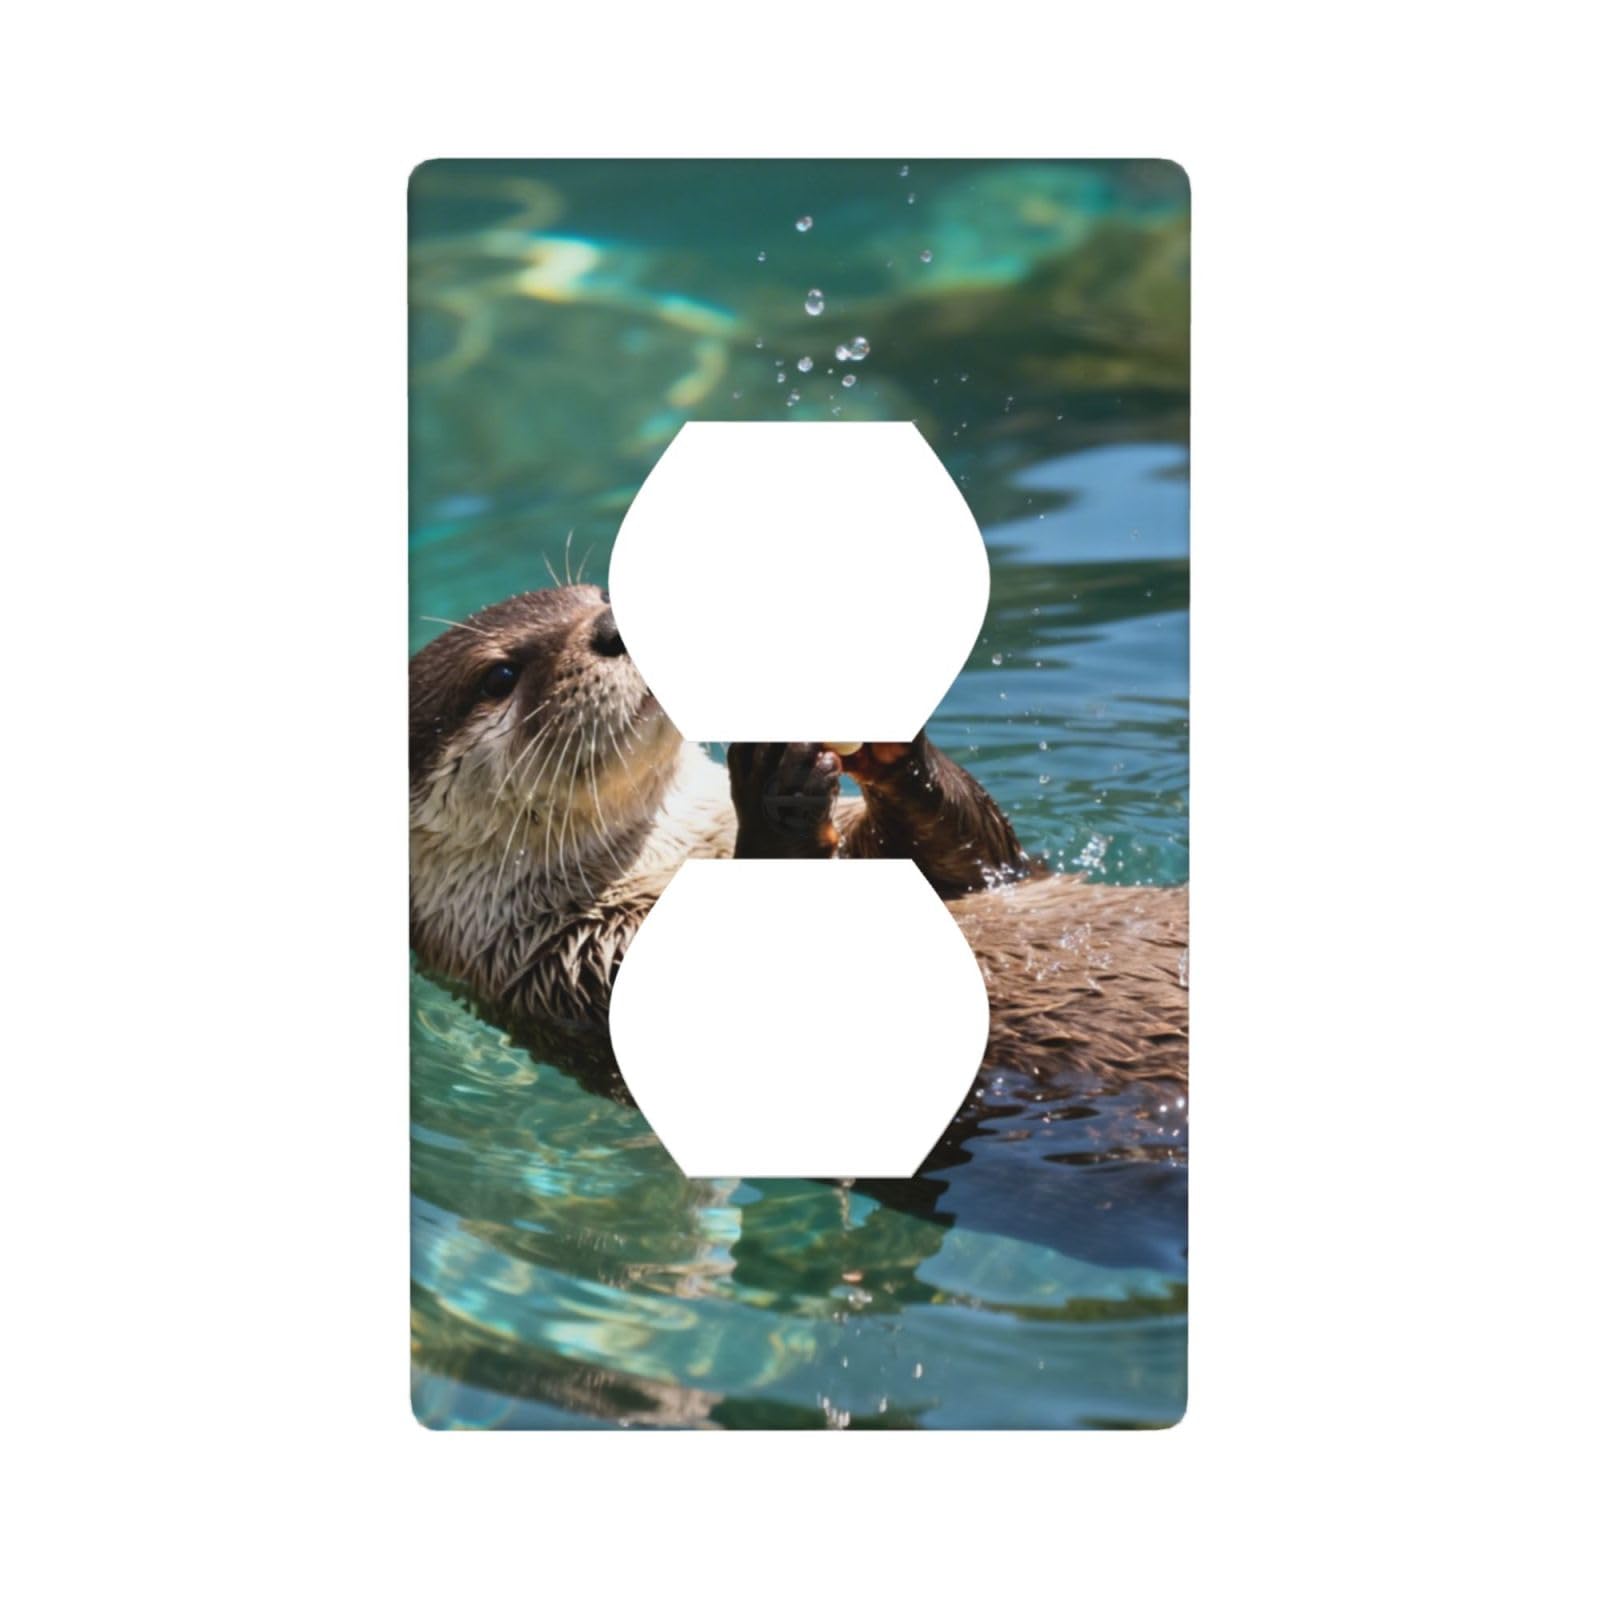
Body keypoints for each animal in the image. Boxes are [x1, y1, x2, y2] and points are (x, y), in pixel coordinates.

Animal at [410, 583, 1188, 1123]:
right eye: (499, 677)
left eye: (598, 593)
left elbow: (988, 859)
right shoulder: (583, 964)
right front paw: (772, 791)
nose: (613, 624)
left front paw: (890, 744)